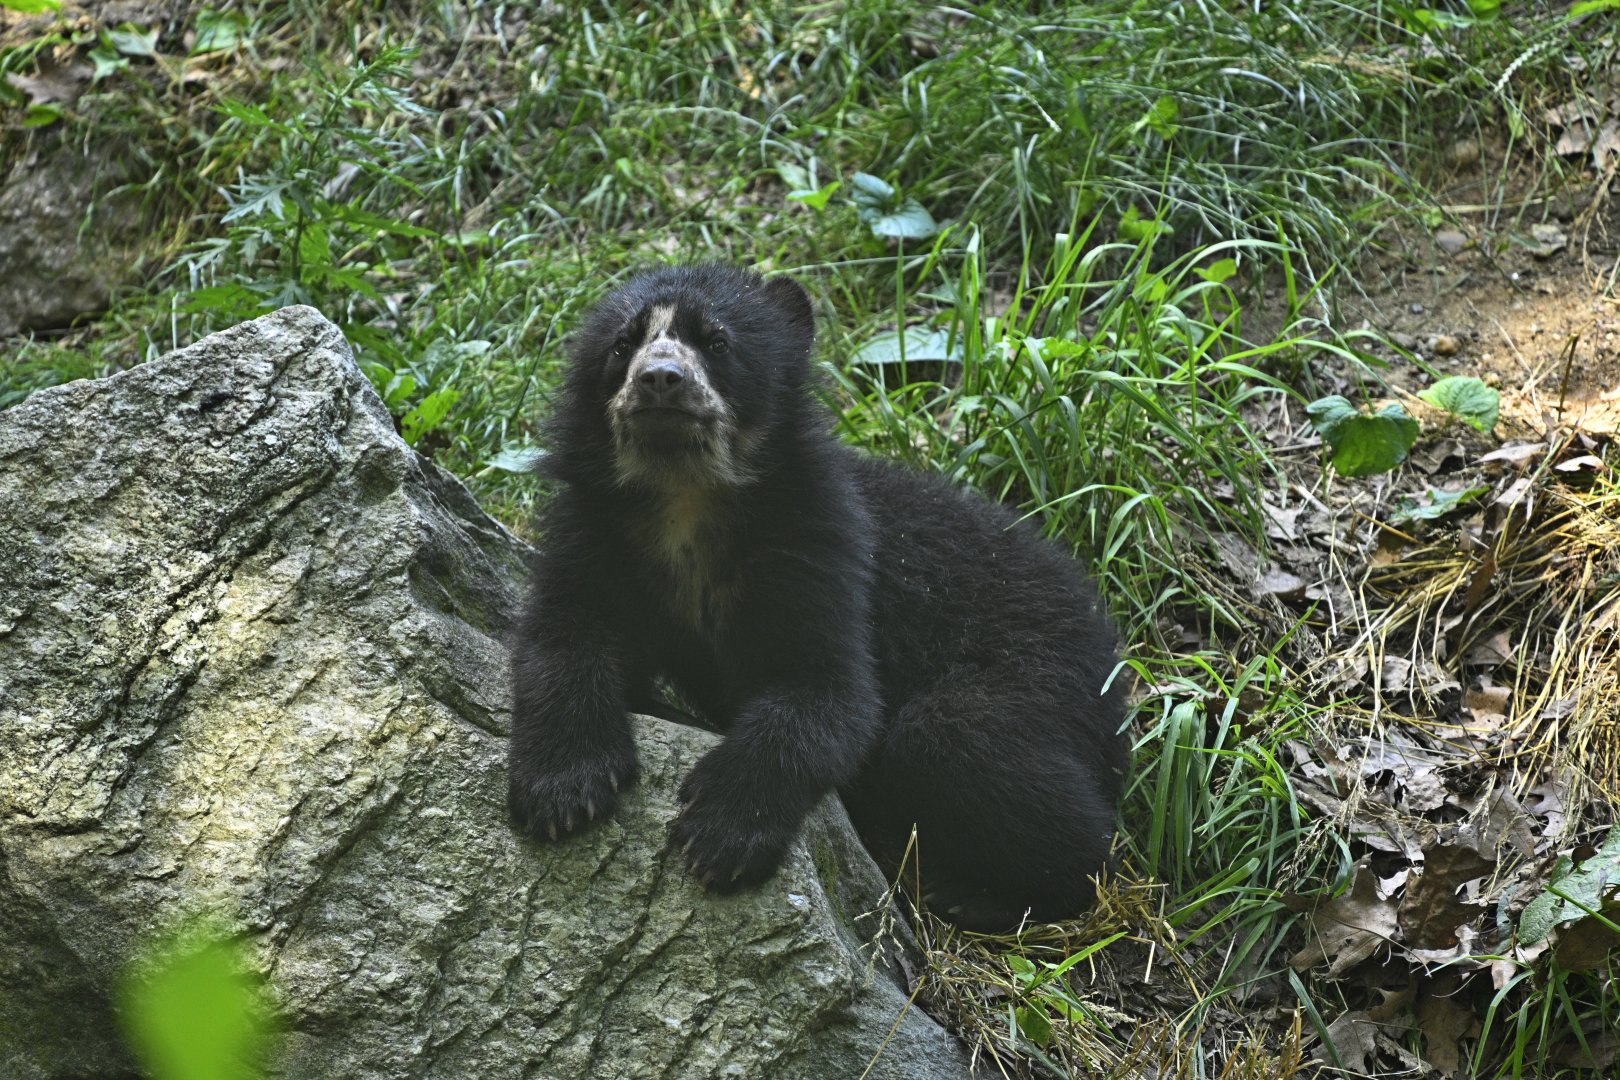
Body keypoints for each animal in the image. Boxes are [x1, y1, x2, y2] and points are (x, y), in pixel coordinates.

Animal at [507, 264, 1127, 931]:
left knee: (965, 746)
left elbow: (827, 689)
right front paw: (561, 793)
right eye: (622, 346)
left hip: (1036, 675)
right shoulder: (595, 533)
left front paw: (720, 835)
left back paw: (980, 896)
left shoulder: (818, 548)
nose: (661, 379)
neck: (685, 496)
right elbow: (563, 634)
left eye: (717, 342)